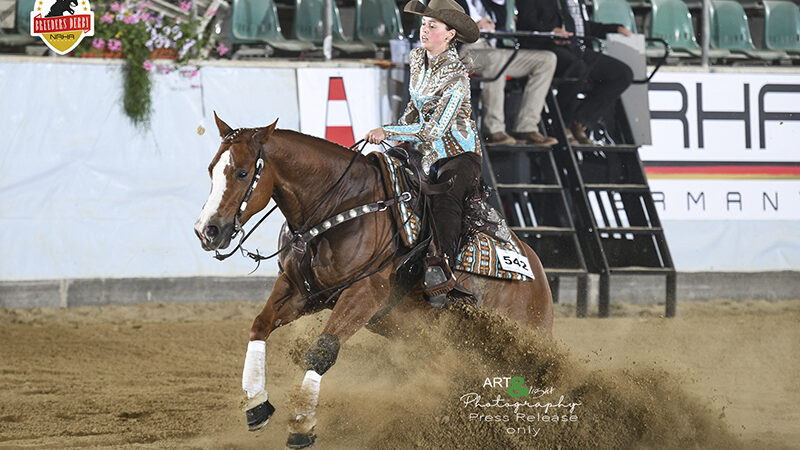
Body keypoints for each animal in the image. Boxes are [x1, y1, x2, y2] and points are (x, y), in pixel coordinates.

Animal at [197, 114, 552, 448]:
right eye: (211, 169)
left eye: (242, 173)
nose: (207, 230)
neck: (342, 205)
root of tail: (538, 274)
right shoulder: (301, 292)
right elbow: (260, 325)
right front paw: (256, 406)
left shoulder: (364, 295)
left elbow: (322, 351)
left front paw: (301, 426)